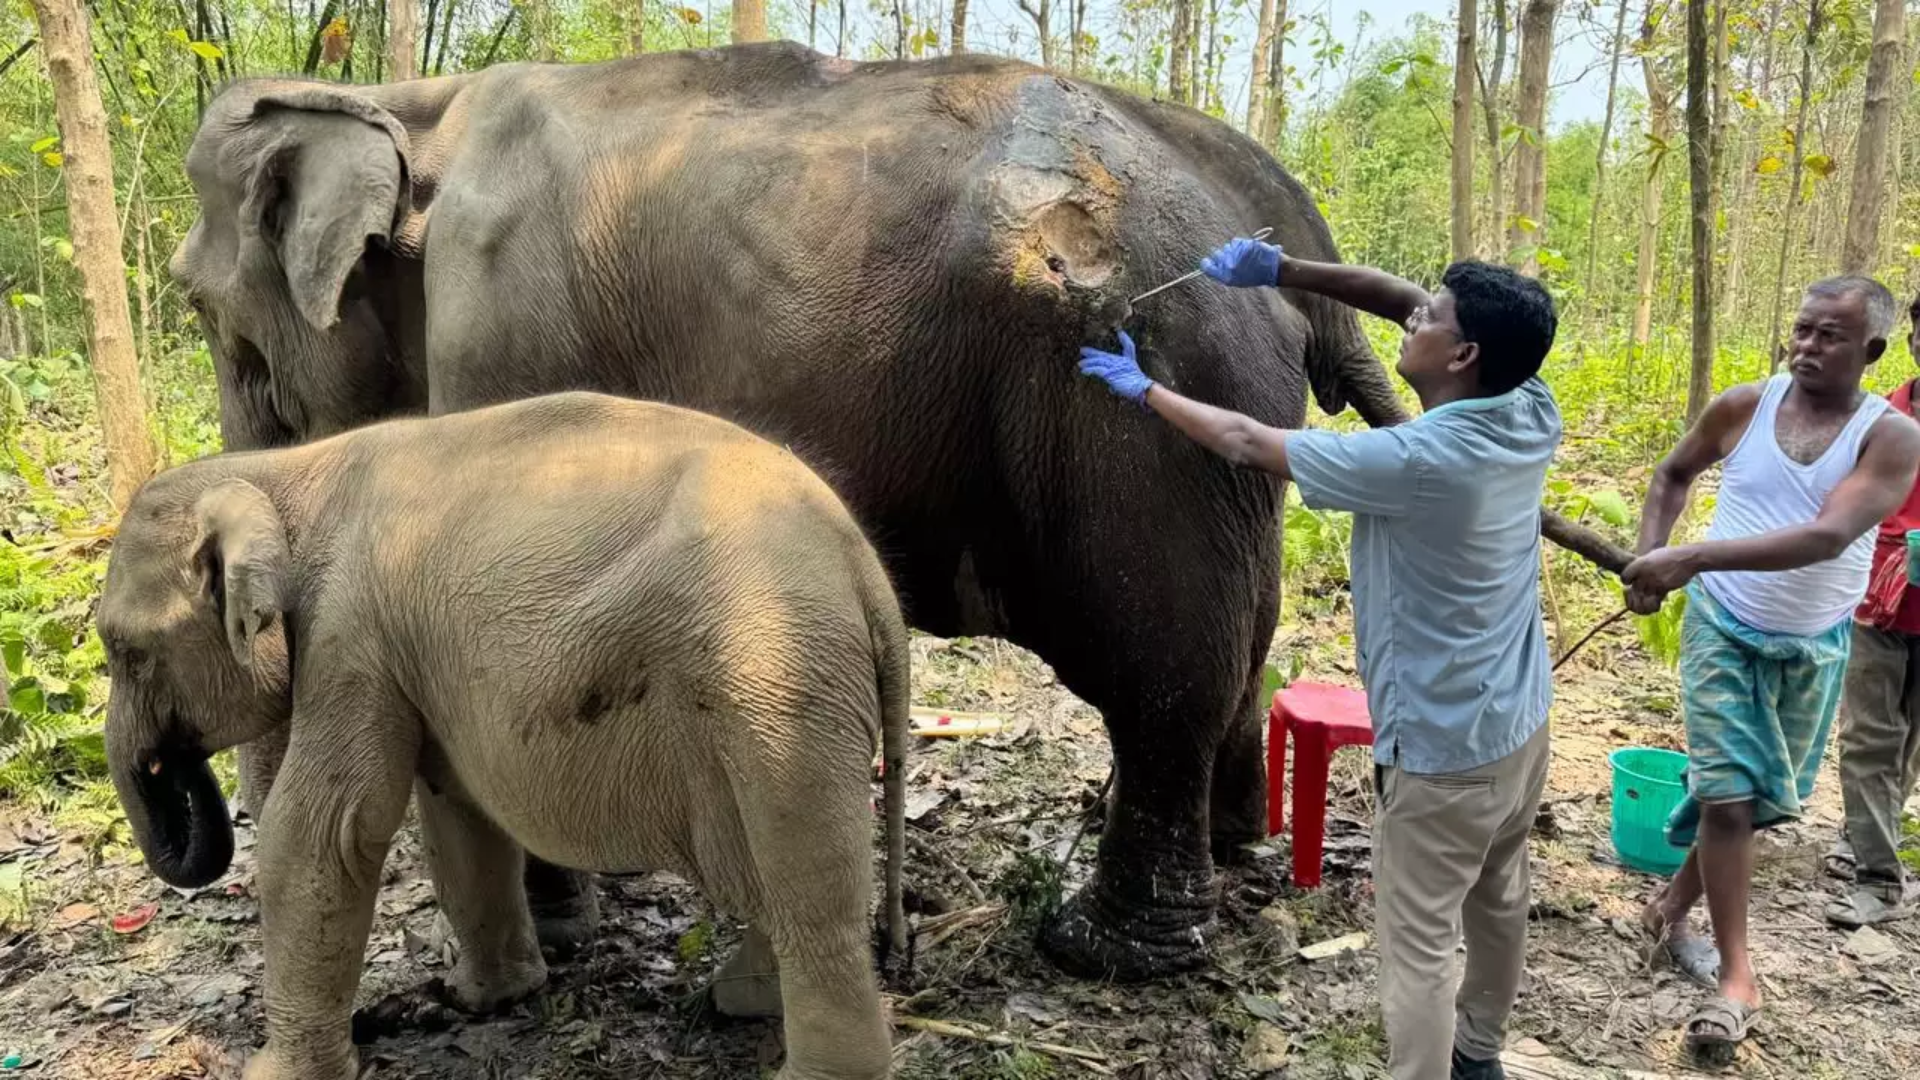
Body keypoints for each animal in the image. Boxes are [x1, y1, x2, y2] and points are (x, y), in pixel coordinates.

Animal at [101, 388, 910, 1076]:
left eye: (125, 652)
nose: (171, 763)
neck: (284, 471)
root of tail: (864, 570)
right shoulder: (405, 651)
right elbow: (455, 812)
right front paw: (478, 999)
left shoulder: (348, 634)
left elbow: (326, 835)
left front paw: (273, 1071)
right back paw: (740, 999)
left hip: (778, 677)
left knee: (809, 885)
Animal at [168, 39, 1620, 976]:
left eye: (196, 304)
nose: (211, 859)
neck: (412, 104)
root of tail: (1275, 207)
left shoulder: (498, 337)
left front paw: (562, 946)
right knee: (1237, 647)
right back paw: (1240, 863)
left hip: (1142, 411)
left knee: (1163, 666)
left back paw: (1104, 951)